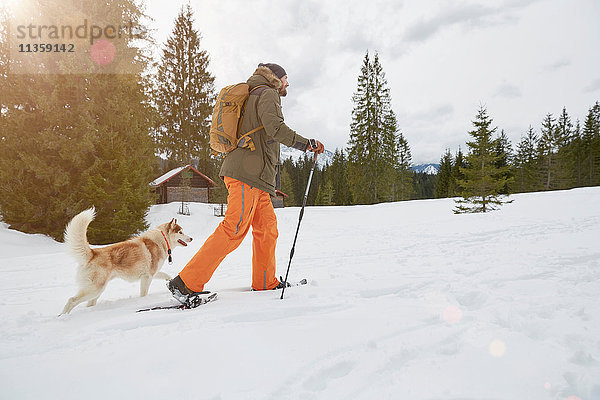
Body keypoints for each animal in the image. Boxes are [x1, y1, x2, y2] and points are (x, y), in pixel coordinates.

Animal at [60, 206, 192, 316]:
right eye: (181, 232)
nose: (191, 238)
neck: (162, 240)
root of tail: (93, 253)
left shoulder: (151, 274)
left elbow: (166, 275)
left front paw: (170, 282)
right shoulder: (147, 277)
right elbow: (143, 294)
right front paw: (143, 301)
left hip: (97, 291)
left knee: (88, 304)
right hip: (95, 289)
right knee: (71, 300)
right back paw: (62, 316)